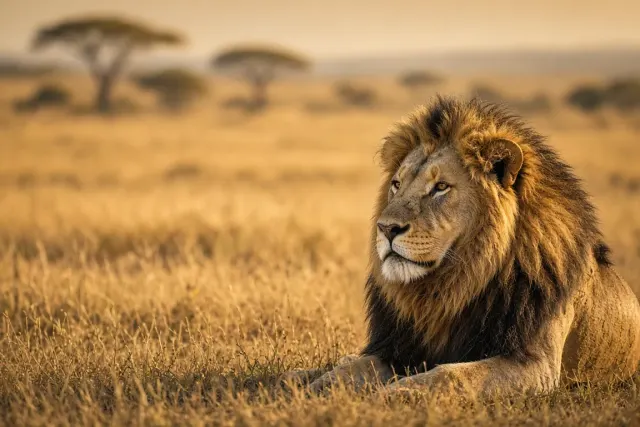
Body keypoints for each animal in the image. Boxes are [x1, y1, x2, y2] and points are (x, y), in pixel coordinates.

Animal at [283, 96, 640, 400]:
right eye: (396, 184)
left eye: (441, 187)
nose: (385, 229)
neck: (453, 286)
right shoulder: (397, 349)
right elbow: (348, 370)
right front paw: (309, 389)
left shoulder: (535, 363)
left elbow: (450, 375)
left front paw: (395, 393)